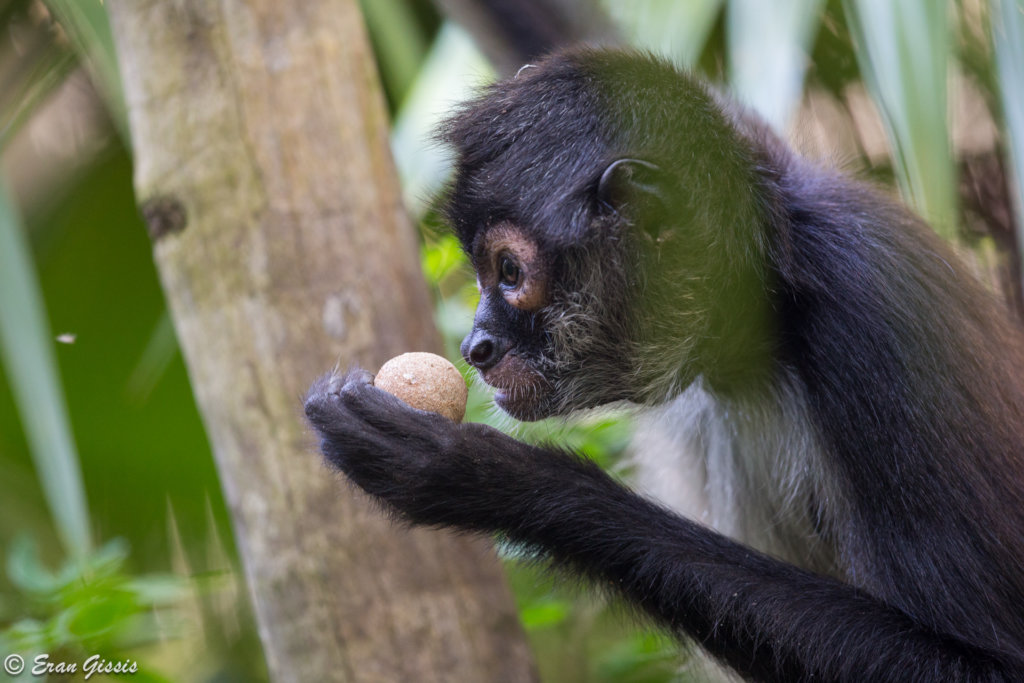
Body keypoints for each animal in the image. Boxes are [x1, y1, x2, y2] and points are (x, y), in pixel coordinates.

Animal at [304, 48, 1024, 682]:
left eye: (508, 272)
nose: (475, 346)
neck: (771, 307)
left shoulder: (874, 317)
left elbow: (985, 669)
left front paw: (488, 475)